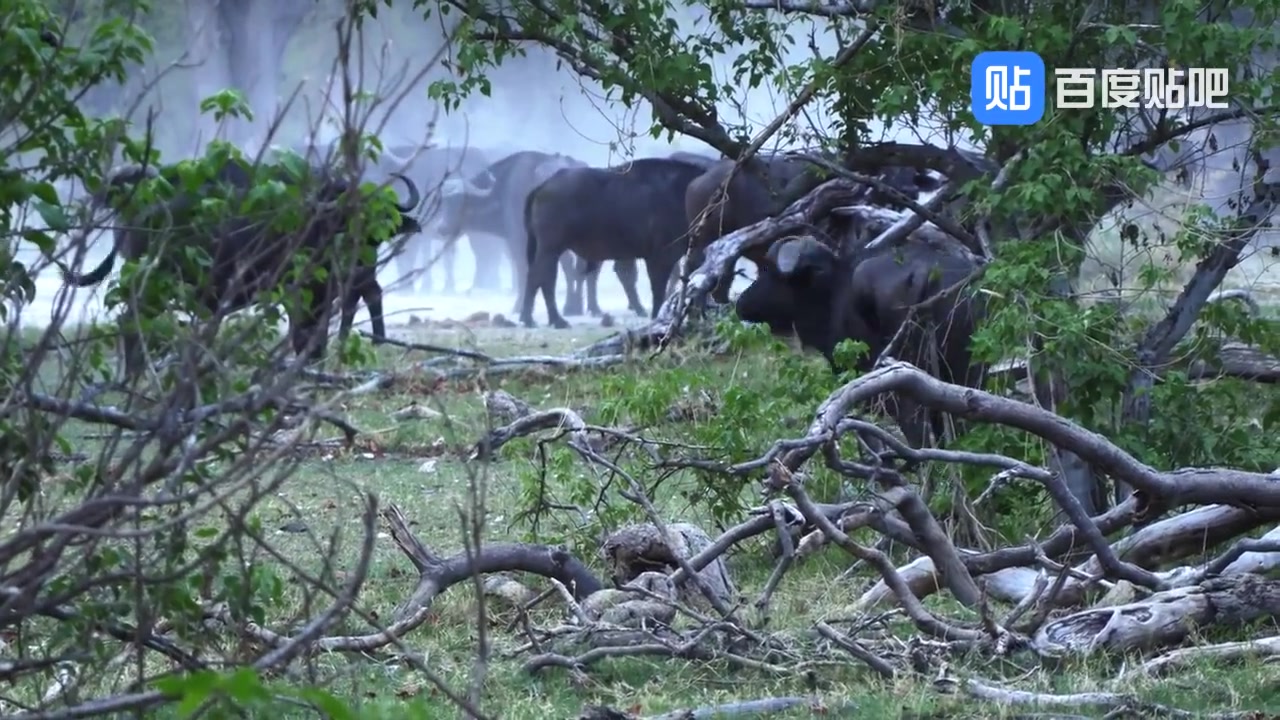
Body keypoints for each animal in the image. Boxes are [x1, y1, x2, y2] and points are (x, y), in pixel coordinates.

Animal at [61, 156, 419, 381]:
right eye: (345, 210)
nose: (365, 246)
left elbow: (315, 336)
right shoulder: (301, 292)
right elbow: (304, 336)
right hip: (154, 282)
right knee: (131, 321)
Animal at [517, 156, 706, 327]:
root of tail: (543, 186)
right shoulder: (660, 256)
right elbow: (658, 288)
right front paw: (656, 315)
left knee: (537, 276)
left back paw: (532, 318)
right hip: (550, 248)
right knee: (543, 277)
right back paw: (553, 320)